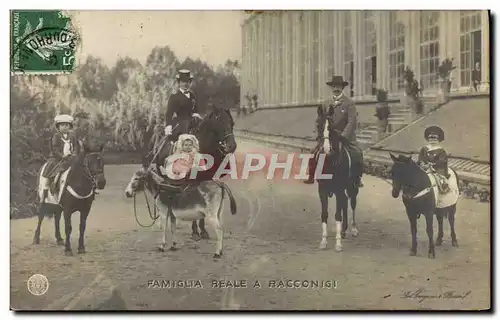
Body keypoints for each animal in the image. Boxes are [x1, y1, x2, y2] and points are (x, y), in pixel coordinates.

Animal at [316, 106, 360, 251]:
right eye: (318, 125)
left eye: (332, 127)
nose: (325, 149)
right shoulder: (322, 190)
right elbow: (325, 214)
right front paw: (324, 241)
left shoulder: (339, 189)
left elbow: (337, 215)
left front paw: (338, 243)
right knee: (345, 202)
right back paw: (344, 230)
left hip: (353, 187)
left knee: (352, 203)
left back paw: (353, 229)